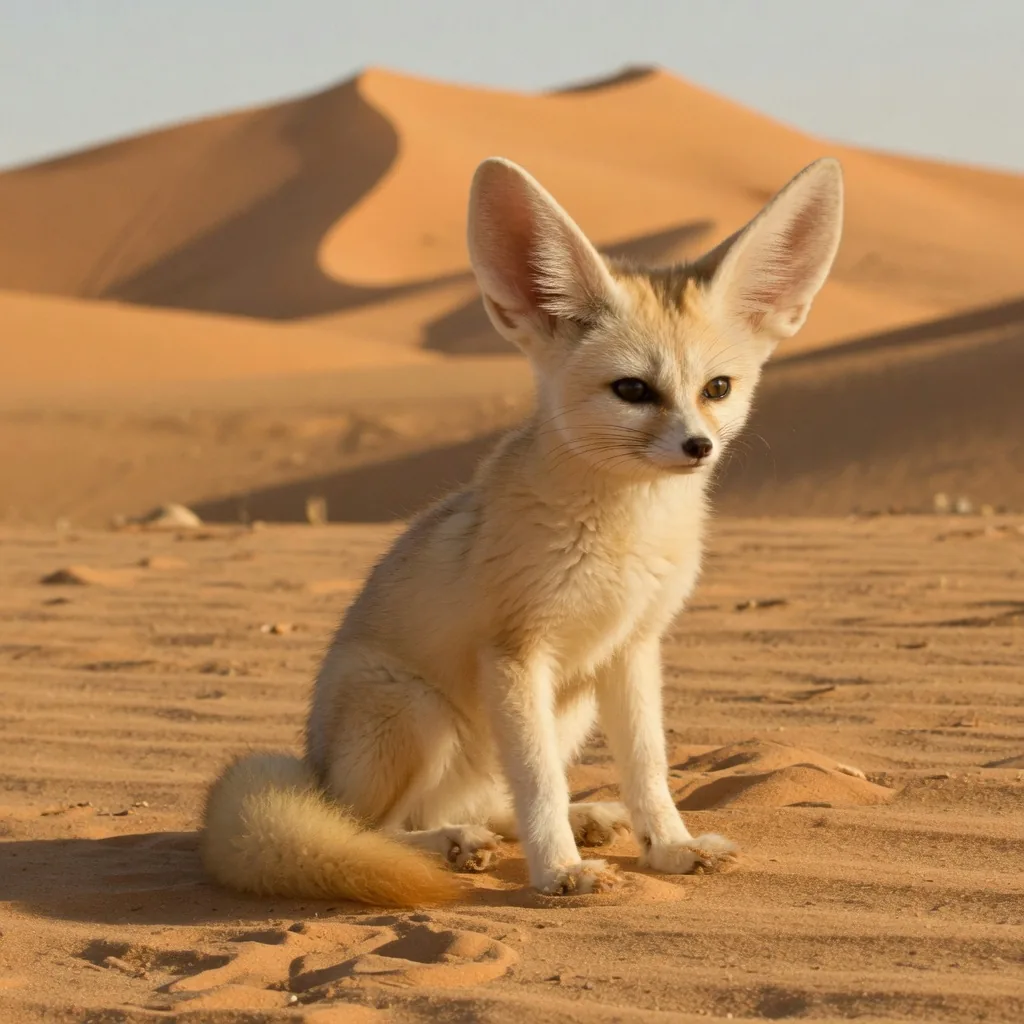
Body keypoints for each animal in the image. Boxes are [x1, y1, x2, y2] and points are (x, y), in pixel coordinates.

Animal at [201, 155, 844, 905]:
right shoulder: (514, 653)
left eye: (717, 389)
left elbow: (647, 769)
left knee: (488, 801)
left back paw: (573, 819)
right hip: (413, 711)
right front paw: (559, 871)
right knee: (371, 829)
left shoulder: (632, 650)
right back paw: (453, 843)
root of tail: (315, 770)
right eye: (632, 391)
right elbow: (538, 783)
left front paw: (670, 848)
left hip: (570, 708)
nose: (698, 448)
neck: (624, 538)